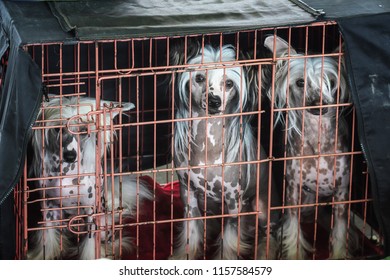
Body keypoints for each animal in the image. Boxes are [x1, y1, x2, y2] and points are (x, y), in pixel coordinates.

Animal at [27, 97, 152, 260]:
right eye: (58, 129)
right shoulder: (48, 208)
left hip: (105, 226)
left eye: (83, 130)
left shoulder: (91, 213)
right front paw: (44, 255)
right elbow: (47, 235)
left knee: (112, 241)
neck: (68, 174)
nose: (70, 156)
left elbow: (92, 242)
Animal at [171, 42, 280, 260]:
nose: (214, 101)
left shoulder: (235, 205)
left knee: (268, 235)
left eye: (229, 83)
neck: (208, 147)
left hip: (262, 210)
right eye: (199, 78)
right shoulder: (189, 197)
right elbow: (190, 236)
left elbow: (229, 245)